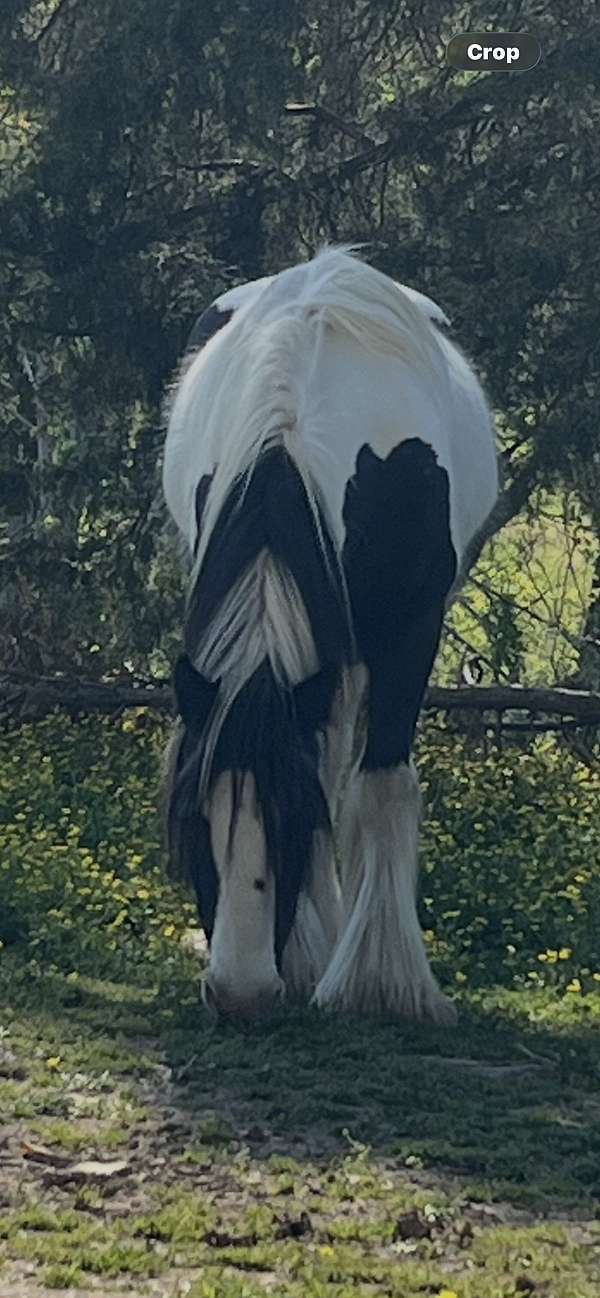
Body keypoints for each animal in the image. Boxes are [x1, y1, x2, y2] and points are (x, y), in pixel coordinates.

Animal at [161, 247, 498, 1021]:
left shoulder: (412, 630)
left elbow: (381, 788)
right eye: (195, 819)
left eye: (291, 822)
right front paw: (312, 959)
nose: (241, 991)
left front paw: (381, 984)